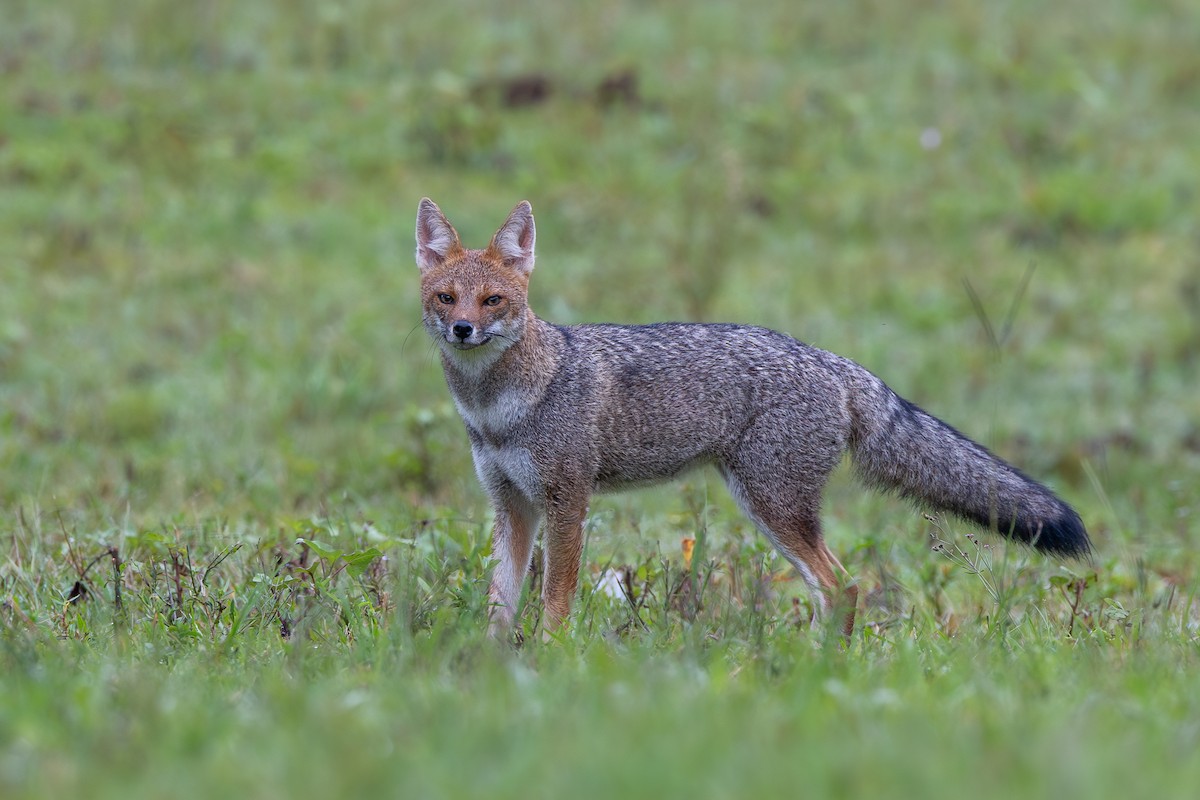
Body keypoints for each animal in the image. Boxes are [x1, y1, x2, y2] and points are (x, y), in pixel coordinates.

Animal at [415, 197, 1091, 640]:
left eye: (493, 300)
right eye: (446, 298)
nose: (463, 329)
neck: (498, 409)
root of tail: (834, 361)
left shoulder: (567, 500)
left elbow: (556, 599)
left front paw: (550, 661)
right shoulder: (512, 505)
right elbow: (499, 602)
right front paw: (493, 666)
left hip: (772, 505)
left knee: (843, 587)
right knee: (833, 592)